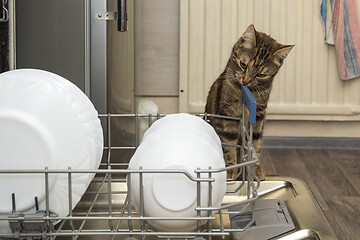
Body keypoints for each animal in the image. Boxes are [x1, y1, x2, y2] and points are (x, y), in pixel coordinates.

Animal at [204, 24, 294, 180]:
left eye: (261, 74)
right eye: (243, 65)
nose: (246, 80)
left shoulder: (259, 116)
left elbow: (255, 145)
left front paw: (256, 169)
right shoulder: (227, 116)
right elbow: (229, 145)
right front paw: (231, 169)